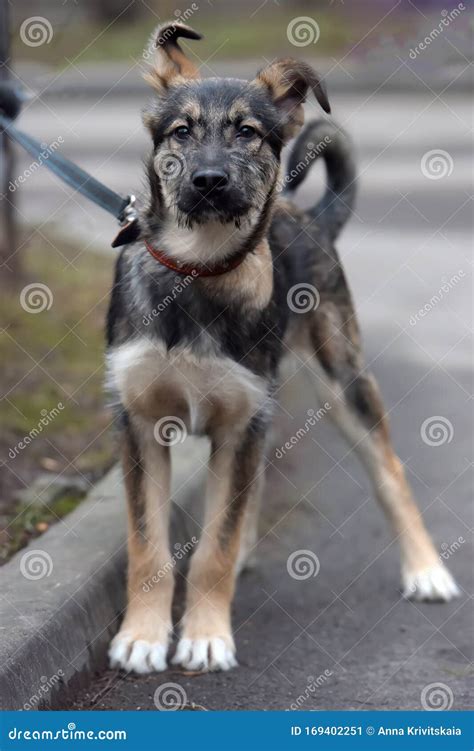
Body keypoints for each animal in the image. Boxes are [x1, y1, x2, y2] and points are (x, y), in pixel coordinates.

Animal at [106, 22, 460, 676]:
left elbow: (213, 549)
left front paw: (205, 636)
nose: (209, 182)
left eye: (248, 132)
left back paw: (426, 570)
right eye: (181, 132)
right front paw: (142, 638)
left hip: (341, 378)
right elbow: (149, 546)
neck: (198, 270)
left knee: (389, 471)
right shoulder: (141, 423)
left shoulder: (238, 420)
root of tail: (316, 216)